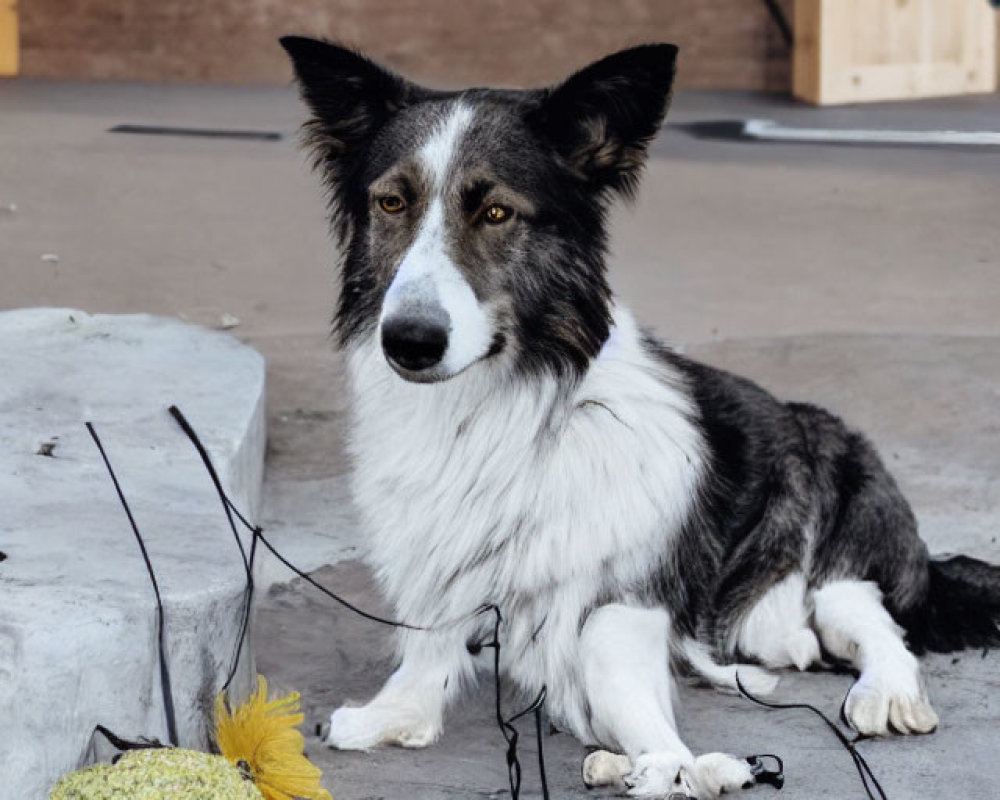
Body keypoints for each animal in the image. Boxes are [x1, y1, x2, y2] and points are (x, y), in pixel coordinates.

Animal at [280, 39, 1000, 800]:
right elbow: (428, 647)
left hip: (842, 505)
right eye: (392, 202)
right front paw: (394, 714)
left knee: (866, 616)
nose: (409, 342)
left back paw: (884, 690)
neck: (496, 405)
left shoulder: (622, 597)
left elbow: (611, 670)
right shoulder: (437, 562)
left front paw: (668, 761)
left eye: (498, 213)